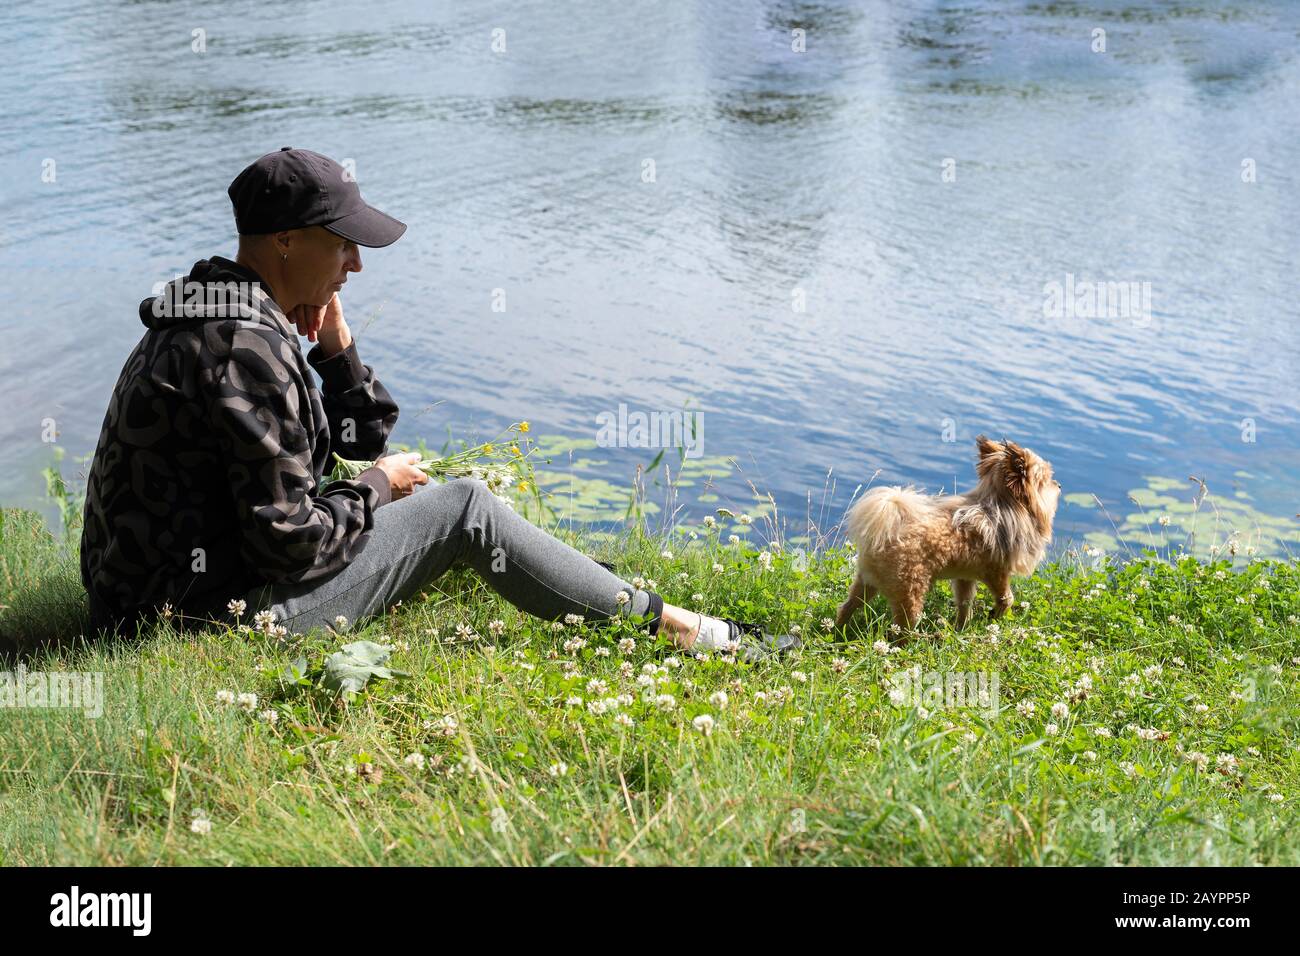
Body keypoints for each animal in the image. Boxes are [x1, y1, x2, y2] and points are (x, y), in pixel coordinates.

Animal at [837, 439, 1060, 634]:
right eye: (1046, 479)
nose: (1058, 485)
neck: (1000, 503)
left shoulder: (965, 576)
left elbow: (964, 604)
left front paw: (961, 629)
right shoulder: (997, 572)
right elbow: (1007, 598)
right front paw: (996, 614)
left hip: (866, 583)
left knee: (847, 607)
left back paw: (838, 631)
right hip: (910, 591)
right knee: (902, 628)